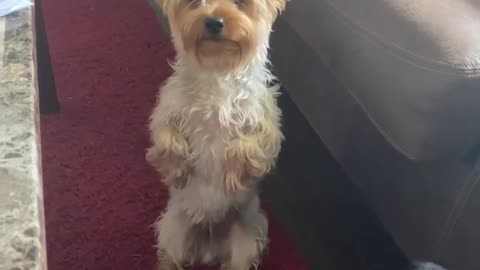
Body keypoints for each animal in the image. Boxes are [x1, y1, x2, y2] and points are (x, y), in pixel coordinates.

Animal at [146, 1, 286, 268]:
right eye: (193, 3)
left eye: (240, 4)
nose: (214, 22)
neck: (217, 68)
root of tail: (208, 248)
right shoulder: (167, 111)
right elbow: (168, 139)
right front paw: (178, 171)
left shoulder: (267, 125)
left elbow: (247, 145)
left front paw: (232, 177)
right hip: (174, 229)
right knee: (170, 257)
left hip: (246, 239)